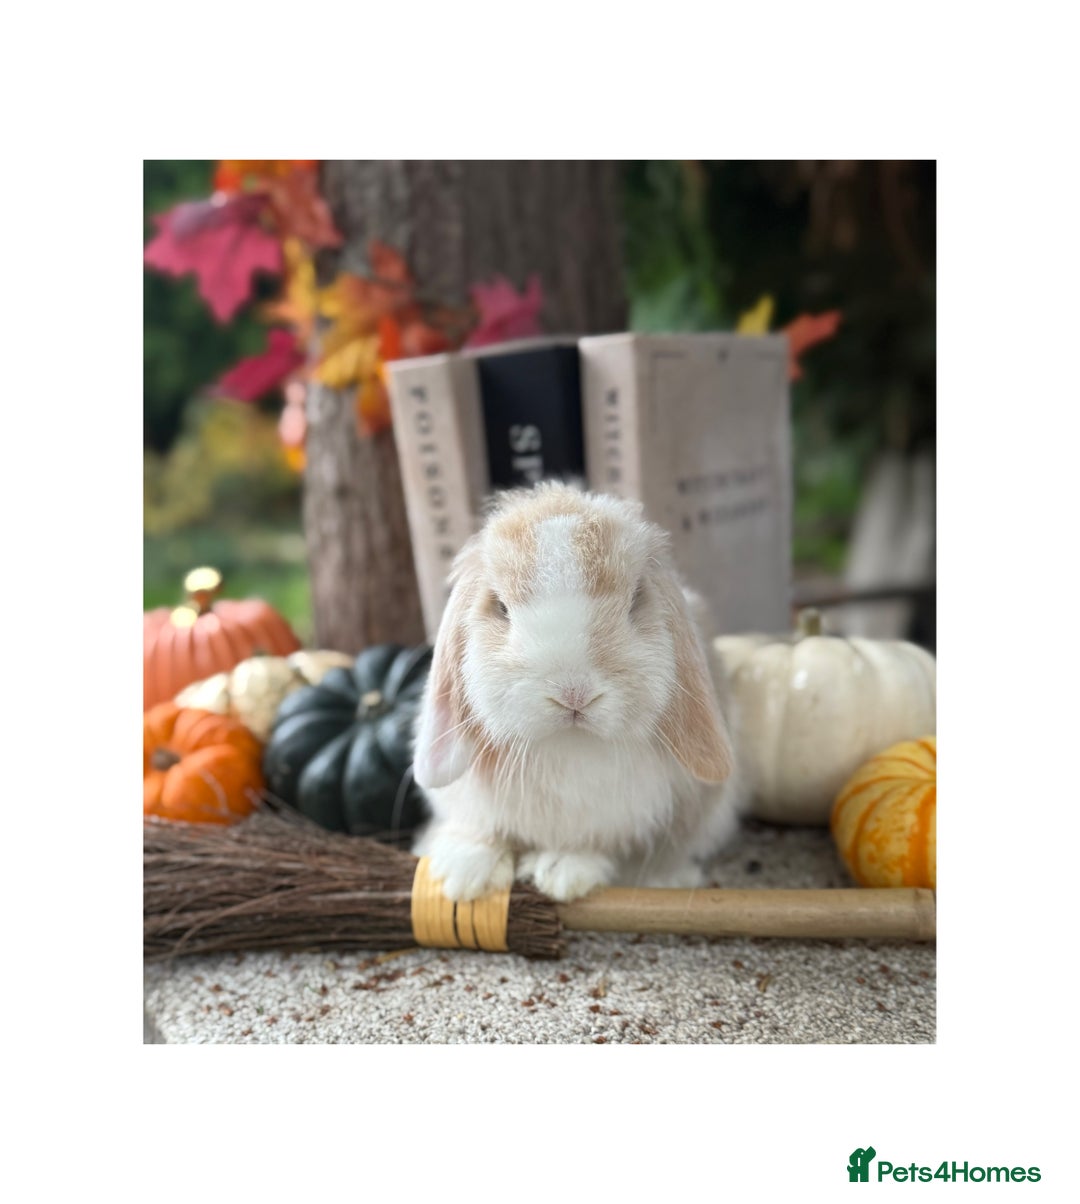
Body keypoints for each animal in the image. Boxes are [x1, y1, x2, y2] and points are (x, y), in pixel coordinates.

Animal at [411, 481, 741, 903]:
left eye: (635, 600)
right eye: (500, 606)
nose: (573, 693)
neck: (569, 746)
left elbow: (593, 844)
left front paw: (562, 874)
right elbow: (480, 829)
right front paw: (463, 878)